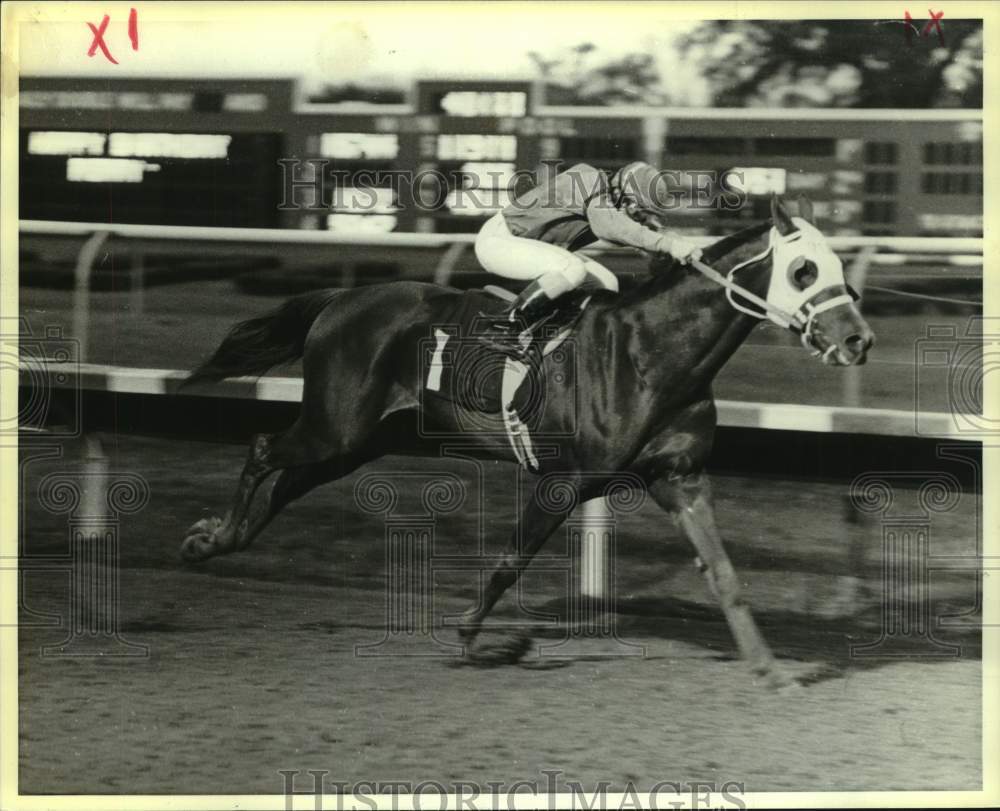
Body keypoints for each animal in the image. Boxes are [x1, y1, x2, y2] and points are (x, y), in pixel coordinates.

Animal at [182, 197, 876, 684]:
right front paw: (468, 638)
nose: (858, 340)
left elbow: (725, 574)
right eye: (803, 269)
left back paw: (223, 542)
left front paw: (772, 669)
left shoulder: (680, 477)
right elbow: (510, 561)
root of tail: (342, 298)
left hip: (360, 439)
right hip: (336, 424)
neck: (651, 354)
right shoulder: (563, 481)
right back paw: (210, 537)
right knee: (264, 449)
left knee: (289, 481)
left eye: (840, 268)